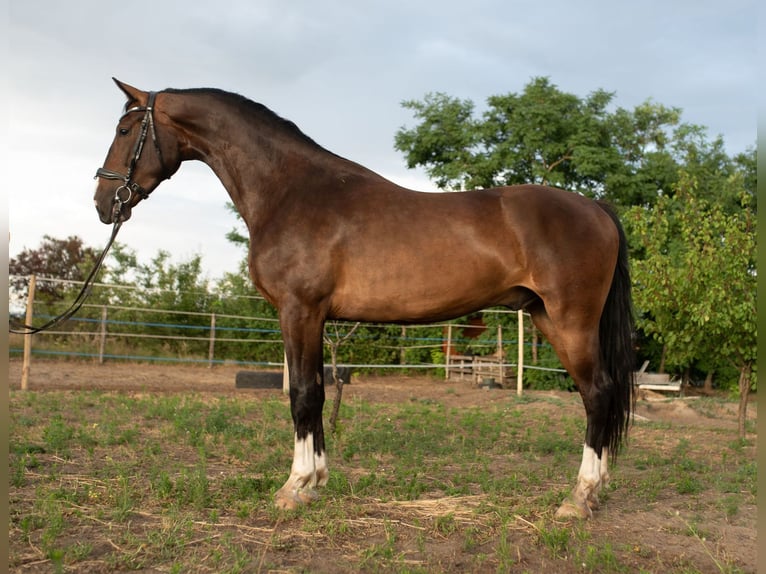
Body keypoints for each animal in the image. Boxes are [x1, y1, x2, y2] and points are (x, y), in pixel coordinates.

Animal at [94, 79, 635, 519]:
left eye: (124, 129)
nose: (103, 203)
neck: (291, 191)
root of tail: (595, 207)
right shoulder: (312, 317)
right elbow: (314, 390)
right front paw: (315, 482)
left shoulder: (300, 310)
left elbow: (303, 395)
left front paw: (294, 487)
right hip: (546, 317)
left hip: (570, 321)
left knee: (597, 393)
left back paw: (579, 498)